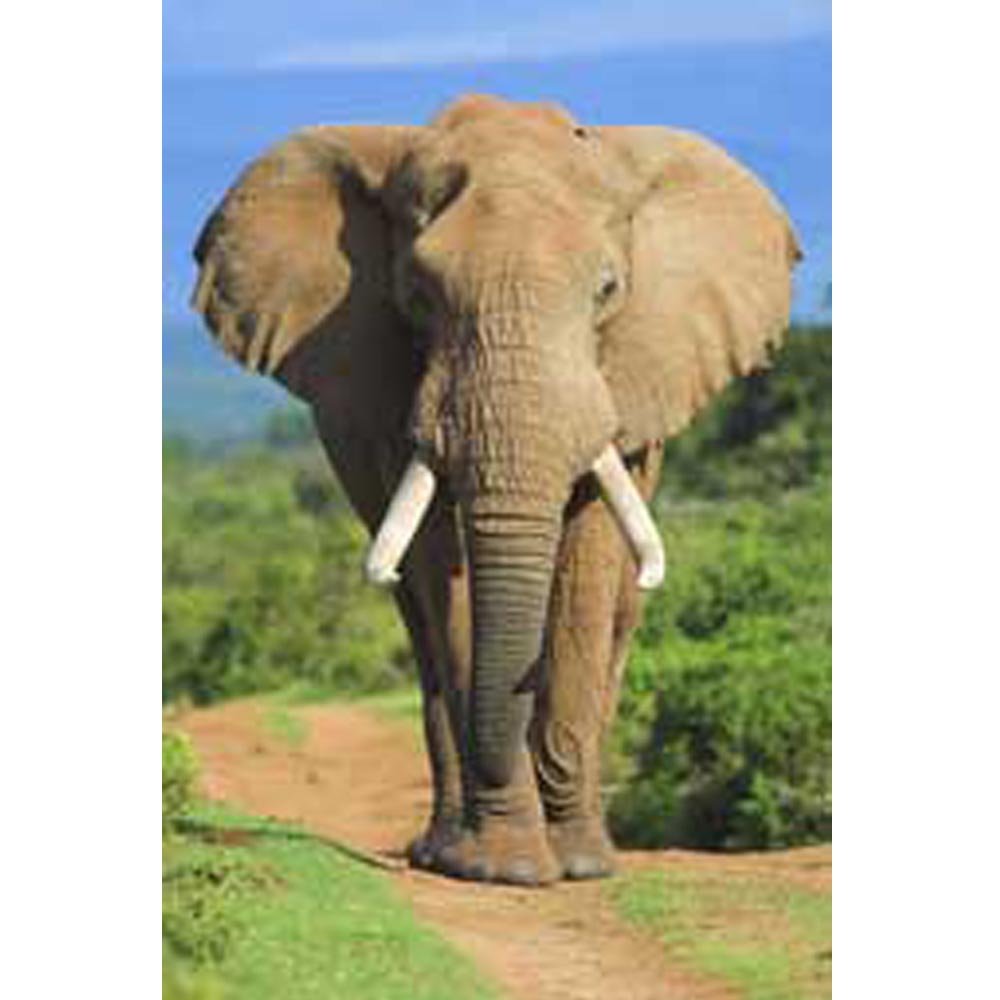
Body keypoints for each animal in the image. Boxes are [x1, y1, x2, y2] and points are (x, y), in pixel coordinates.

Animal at [190, 93, 800, 886]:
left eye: (607, 291)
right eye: (418, 296)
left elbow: (588, 562)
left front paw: (575, 865)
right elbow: (438, 567)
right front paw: (499, 866)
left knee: (619, 614)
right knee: (417, 621)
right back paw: (441, 849)